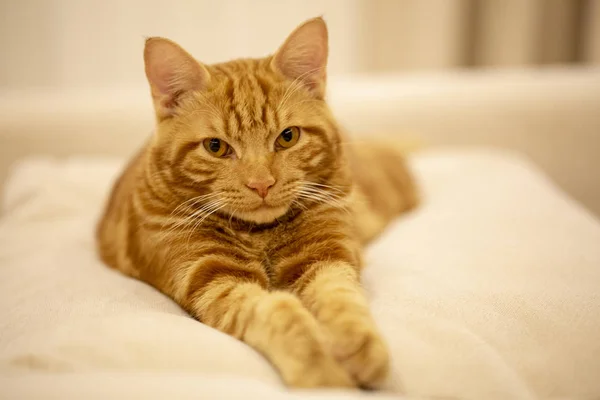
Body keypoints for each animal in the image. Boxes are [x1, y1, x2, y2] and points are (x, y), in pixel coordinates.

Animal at [98, 17, 418, 390]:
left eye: (288, 137)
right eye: (216, 147)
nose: (262, 183)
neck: (259, 233)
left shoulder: (327, 255)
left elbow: (341, 297)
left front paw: (358, 344)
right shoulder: (213, 280)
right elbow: (280, 313)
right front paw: (321, 370)